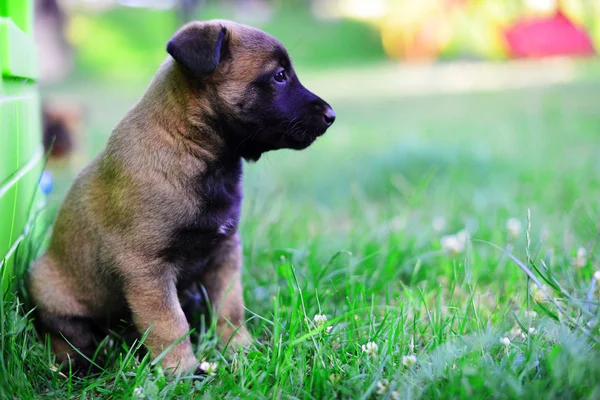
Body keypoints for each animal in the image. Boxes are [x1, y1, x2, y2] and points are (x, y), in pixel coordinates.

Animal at [28, 18, 336, 376]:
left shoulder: (224, 254)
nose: (331, 116)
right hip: (51, 291)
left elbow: (231, 307)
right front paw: (182, 372)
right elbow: (169, 323)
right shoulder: (147, 268)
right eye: (279, 76)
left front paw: (240, 349)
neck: (192, 148)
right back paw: (81, 364)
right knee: (66, 337)